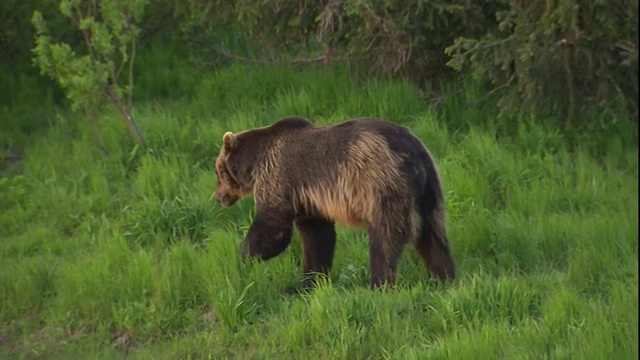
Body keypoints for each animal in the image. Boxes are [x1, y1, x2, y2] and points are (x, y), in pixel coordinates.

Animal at [214, 116, 456, 292]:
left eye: (217, 170)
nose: (217, 196)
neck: (255, 164)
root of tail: (414, 157)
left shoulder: (280, 177)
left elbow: (273, 228)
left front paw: (242, 255)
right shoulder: (309, 200)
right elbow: (318, 237)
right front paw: (308, 284)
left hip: (382, 187)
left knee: (384, 240)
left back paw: (378, 285)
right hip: (430, 191)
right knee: (434, 238)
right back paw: (444, 278)